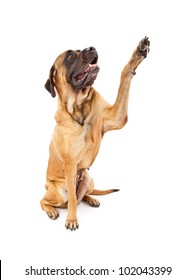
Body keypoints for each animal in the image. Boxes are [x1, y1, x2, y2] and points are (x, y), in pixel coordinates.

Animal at [39, 36, 149, 230]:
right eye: (69, 56)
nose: (92, 48)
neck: (79, 107)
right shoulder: (70, 165)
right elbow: (72, 199)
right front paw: (72, 220)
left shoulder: (116, 117)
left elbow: (124, 75)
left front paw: (138, 52)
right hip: (57, 190)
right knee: (48, 200)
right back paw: (51, 210)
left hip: (88, 179)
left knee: (81, 196)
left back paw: (91, 199)